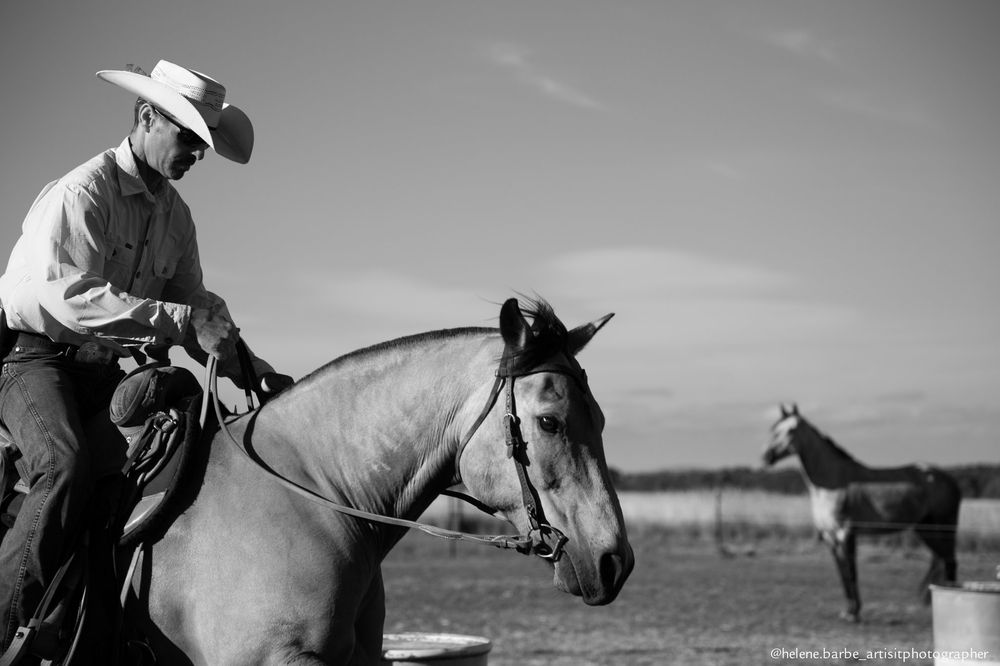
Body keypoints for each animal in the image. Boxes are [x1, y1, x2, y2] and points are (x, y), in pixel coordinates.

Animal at [762, 403, 961, 622]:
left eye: (791, 430)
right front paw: (847, 610)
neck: (831, 484)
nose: (767, 456)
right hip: (926, 529)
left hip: (943, 528)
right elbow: (842, 573)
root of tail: (949, 479)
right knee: (941, 560)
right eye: (774, 430)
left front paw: (854, 613)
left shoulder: (846, 534)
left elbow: (851, 572)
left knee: (950, 562)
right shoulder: (830, 537)